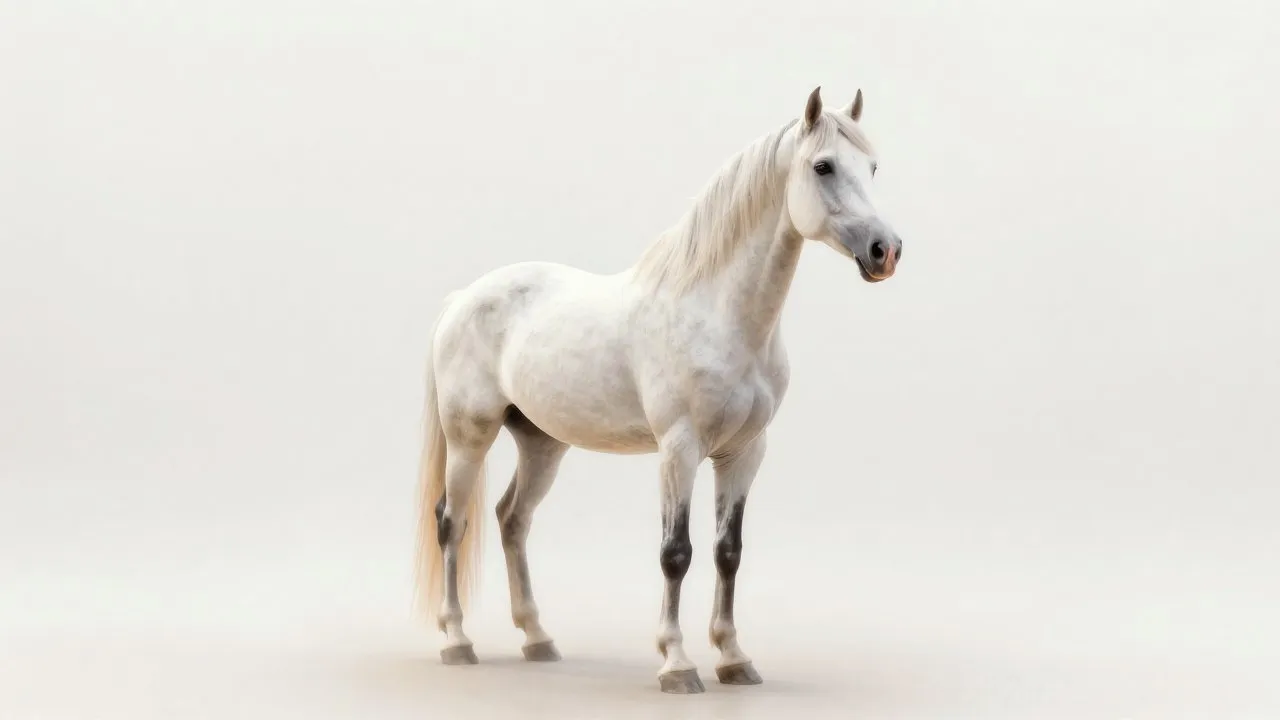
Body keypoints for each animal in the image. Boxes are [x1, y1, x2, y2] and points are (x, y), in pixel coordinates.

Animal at [415, 85, 903, 694]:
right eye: (823, 166)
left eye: (873, 167)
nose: (886, 250)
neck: (718, 314)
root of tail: (462, 299)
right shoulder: (679, 449)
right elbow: (677, 552)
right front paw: (677, 663)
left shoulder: (744, 453)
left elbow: (727, 552)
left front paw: (734, 658)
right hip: (469, 438)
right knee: (451, 523)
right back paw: (457, 642)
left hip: (542, 443)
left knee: (512, 520)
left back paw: (537, 638)